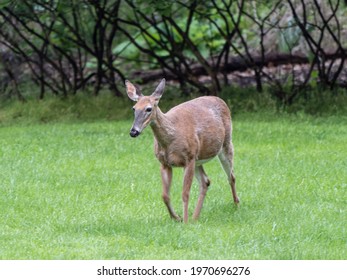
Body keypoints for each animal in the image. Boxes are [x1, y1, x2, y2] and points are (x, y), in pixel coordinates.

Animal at [125, 77, 239, 222]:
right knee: (206, 181)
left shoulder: (188, 159)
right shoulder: (165, 163)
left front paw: (184, 221)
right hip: (198, 159)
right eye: (134, 108)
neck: (170, 141)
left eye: (149, 109)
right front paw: (177, 217)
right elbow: (165, 195)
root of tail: (220, 99)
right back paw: (195, 217)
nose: (133, 132)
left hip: (225, 144)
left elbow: (185, 193)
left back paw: (236, 204)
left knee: (231, 176)